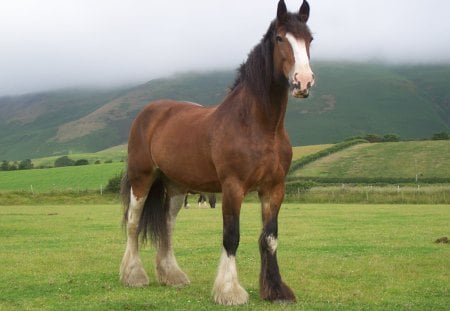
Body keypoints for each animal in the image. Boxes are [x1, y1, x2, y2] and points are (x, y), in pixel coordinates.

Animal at [120, 0, 316, 306]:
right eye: (280, 38)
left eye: (310, 39)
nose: (303, 82)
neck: (259, 126)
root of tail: (149, 113)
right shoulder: (233, 187)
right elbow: (231, 236)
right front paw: (229, 291)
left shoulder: (274, 188)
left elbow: (270, 238)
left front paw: (276, 291)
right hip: (142, 179)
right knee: (133, 222)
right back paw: (134, 276)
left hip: (176, 187)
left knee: (168, 226)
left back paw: (172, 275)